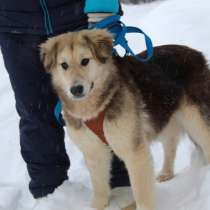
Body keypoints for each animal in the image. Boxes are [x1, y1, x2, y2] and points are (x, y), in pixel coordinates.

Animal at [40, 29, 210, 210]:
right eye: (64, 65)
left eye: (85, 61)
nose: (76, 89)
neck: (96, 108)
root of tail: (196, 54)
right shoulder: (94, 153)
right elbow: (100, 188)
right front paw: (98, 205)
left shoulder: (134, 152)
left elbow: (142, 195)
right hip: (163, 114)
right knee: (170, 144)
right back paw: (166, 173)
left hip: (195, 120)